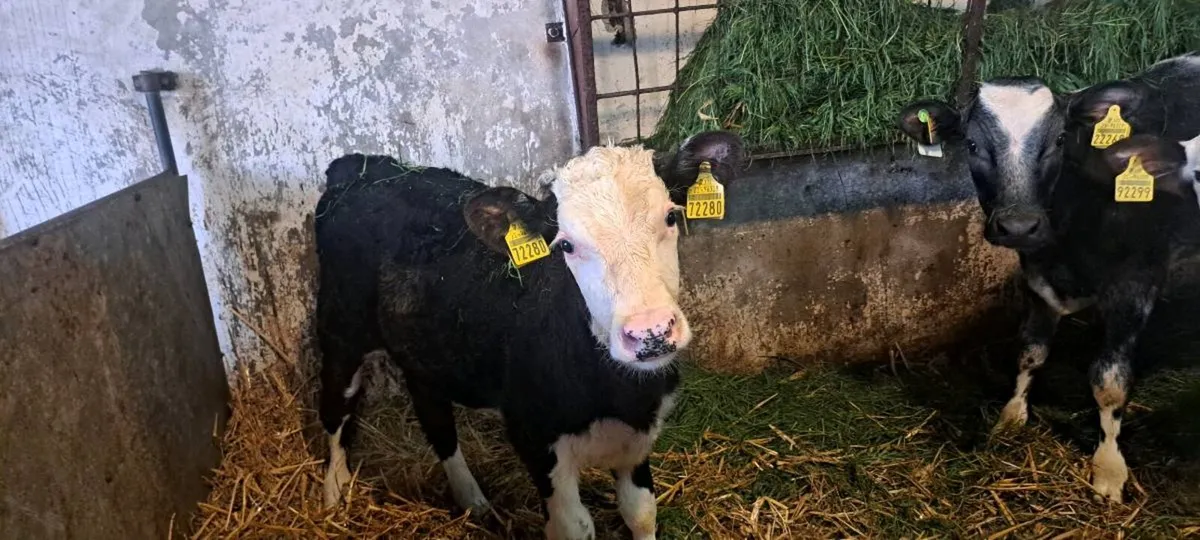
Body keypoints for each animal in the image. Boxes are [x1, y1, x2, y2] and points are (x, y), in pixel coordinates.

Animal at [314, 131, 744, 540]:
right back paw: (334, 492)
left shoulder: (638, 437)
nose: (650, 332)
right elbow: (574, 526)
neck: (618, 394)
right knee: (336, 407)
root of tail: (359, 165)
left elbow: (641, 513)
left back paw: (472, 500)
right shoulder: (533, 436)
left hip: (425, 351)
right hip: (340, 327)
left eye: (671, 217)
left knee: (435, 418)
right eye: (566, 244)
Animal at [895, 53, 1200, 503]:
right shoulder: (1037, 278)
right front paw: (1011, 416)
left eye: (1059, 141)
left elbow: (1109, 380)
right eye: (972, 145)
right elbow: (1030, 351)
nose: (1020, 225)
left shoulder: (1135, 285)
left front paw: (1108, 468)